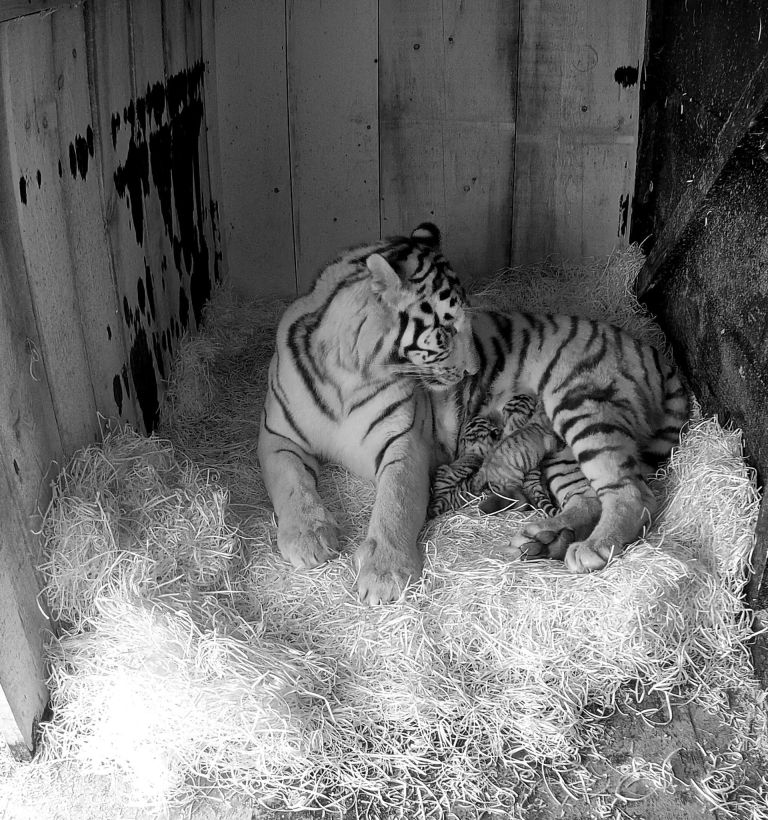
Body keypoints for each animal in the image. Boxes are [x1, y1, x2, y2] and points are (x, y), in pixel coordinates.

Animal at [258, 222, 689, 604]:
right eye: (446, 331)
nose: (472, 371)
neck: (351, 368)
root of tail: (652, 352)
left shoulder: (404, 445)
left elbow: (395, 505)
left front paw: (385, 575)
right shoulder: (278, 436)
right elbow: (292, 484)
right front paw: (308, 540)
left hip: (581, 406)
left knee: (634, 494)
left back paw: (592, 548)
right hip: (560, 449)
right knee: (588, 499)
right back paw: (541, 538)